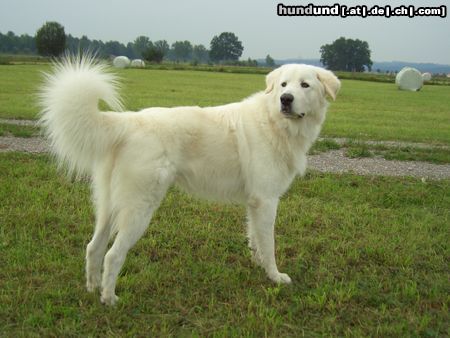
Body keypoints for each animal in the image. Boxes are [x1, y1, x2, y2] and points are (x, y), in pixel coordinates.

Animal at [38, 54, 340, 304]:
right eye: (283, 85)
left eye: (304, 85)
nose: (285, 99)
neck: (275, 122)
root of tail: (128, 122)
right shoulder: (266, 201)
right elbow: (270, 244)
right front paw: (275, 277)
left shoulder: (255, 203)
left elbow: (256, 239)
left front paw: (259, 265)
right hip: (139, 209)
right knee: (113, 255)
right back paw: (109, 299)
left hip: (109, 206)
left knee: (94, 247)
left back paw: (92, 289)